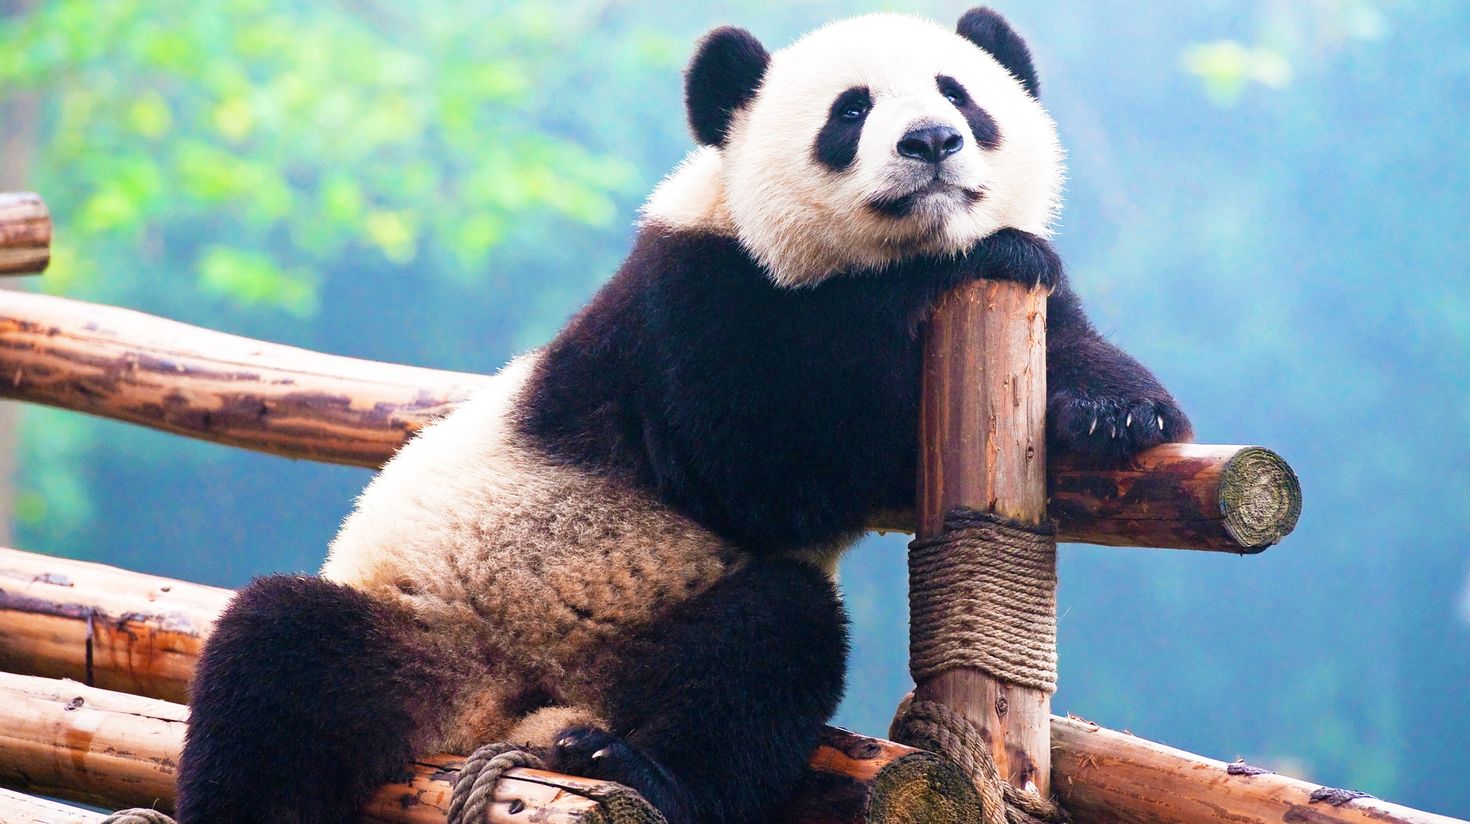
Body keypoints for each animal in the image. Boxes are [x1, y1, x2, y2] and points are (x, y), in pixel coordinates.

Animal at [177, 8, 1190, 824]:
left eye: (960, 94)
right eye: (850, 112)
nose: (934, 141)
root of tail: (511, 709)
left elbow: (1072, 344)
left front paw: (1117, 415)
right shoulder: (688, 300)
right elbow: (763, 462)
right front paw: (959, 268)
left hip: (648, 639)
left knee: (760, 652)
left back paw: (631, 763)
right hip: (425, 625)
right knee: (277, 665)